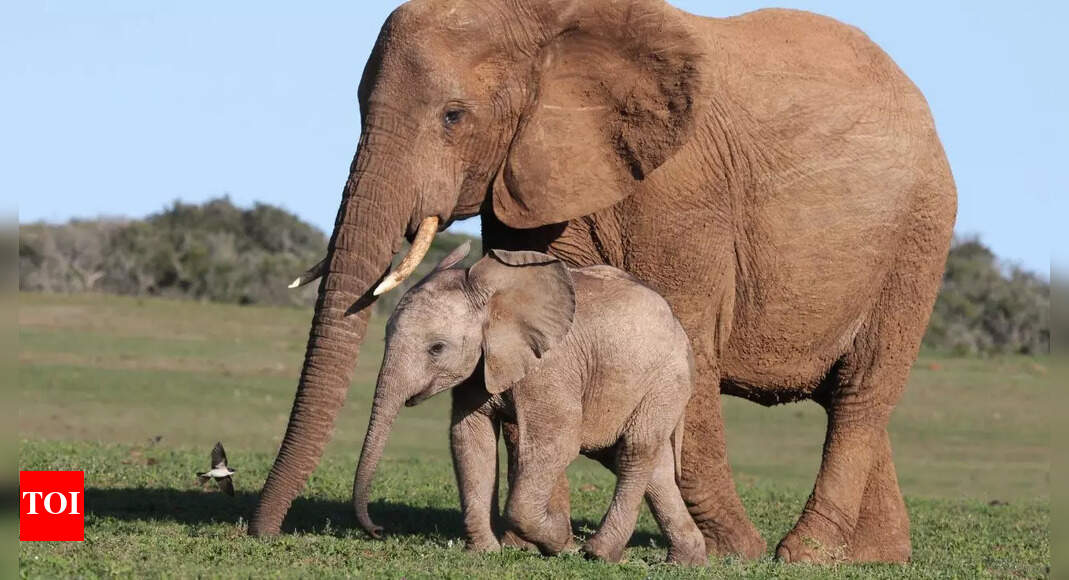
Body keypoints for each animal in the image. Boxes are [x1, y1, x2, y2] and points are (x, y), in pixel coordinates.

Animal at [351, 243, 707, 564]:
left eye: (437, 348)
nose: (378, 530)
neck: (493, 297)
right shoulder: (480, 366)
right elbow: (471, 439)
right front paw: (485, 553)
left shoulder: (551, 366)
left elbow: (558, 441)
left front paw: (562, 543)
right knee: (649, 464)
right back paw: (685, 562)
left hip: (666, 381)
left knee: (635, 450)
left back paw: (598, 553)